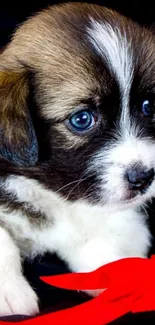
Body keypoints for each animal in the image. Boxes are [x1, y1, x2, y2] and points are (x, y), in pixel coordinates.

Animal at [0, 0, 154, 314]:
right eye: (82, 119)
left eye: (147, 106)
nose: (144, 178)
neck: (57, 195)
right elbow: (2, 241)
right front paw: (9, 291)